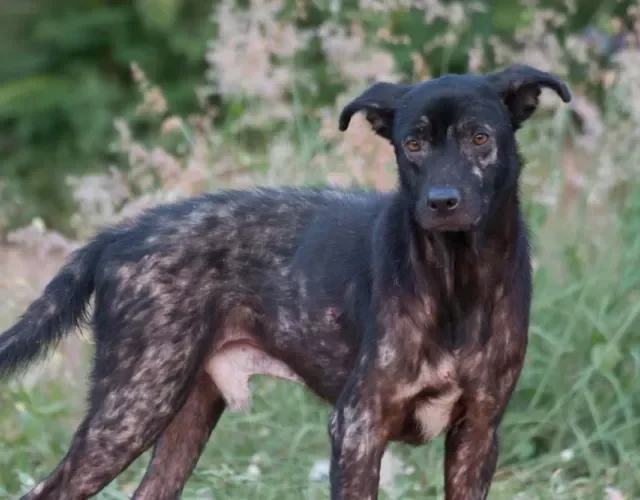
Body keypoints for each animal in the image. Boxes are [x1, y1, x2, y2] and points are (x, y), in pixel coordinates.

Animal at [0, 63, 568, 500]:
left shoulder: (478, 432)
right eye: (413, 143)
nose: (442, 201)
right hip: (134, 404)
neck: (457, 280)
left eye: (480, 137)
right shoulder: (358, 427)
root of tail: (118, 235)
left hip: (183, 411)